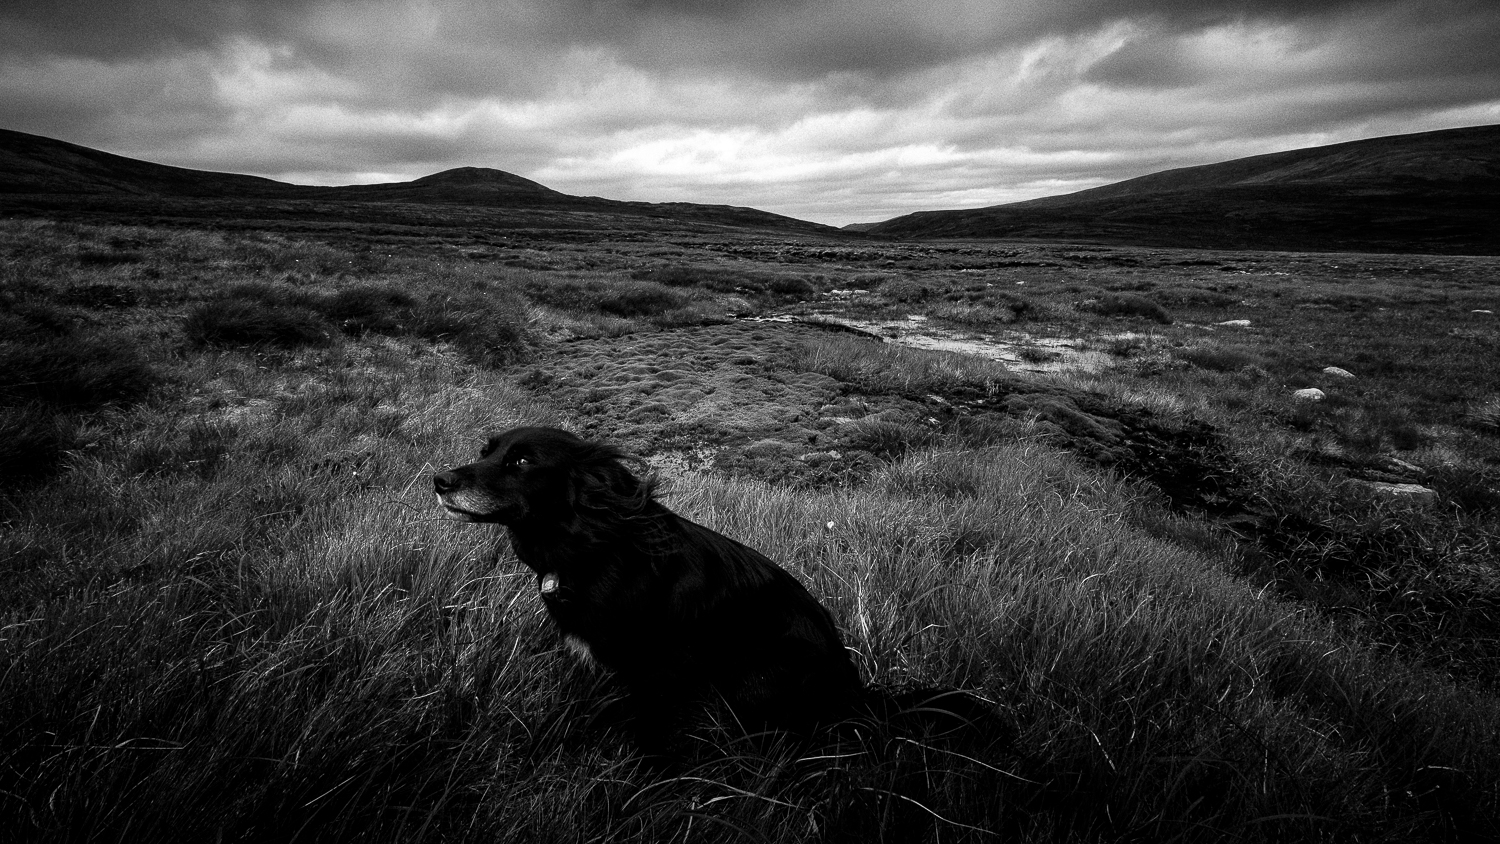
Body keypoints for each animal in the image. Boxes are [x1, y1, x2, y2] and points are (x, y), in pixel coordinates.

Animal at [432, 425, 996, 749]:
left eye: (523, 462)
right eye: (486, 451)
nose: (439, 480)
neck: (593, 543)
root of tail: (856, 693)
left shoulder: (659, 669)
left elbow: (650, 734)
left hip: (756, 678)